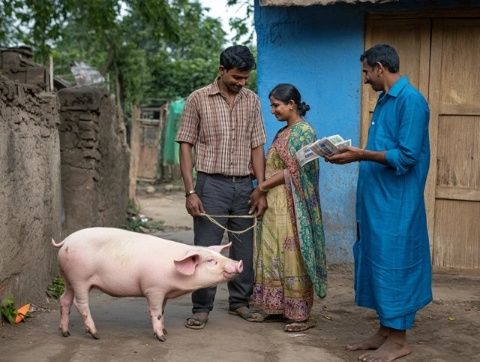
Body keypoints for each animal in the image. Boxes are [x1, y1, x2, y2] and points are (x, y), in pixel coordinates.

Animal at [51, 228, 244, 340]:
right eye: (211, 260)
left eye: (219, 256)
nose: (239, 262)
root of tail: (65, 241)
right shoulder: (154, 288)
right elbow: (156, 312)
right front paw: (162, 338)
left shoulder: (164, 292)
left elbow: (162, 311)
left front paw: (165, 331)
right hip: (80, 278)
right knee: (80, 303)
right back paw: (95, 334)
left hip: (68, 278)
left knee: (64, 299)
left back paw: (65, 332)